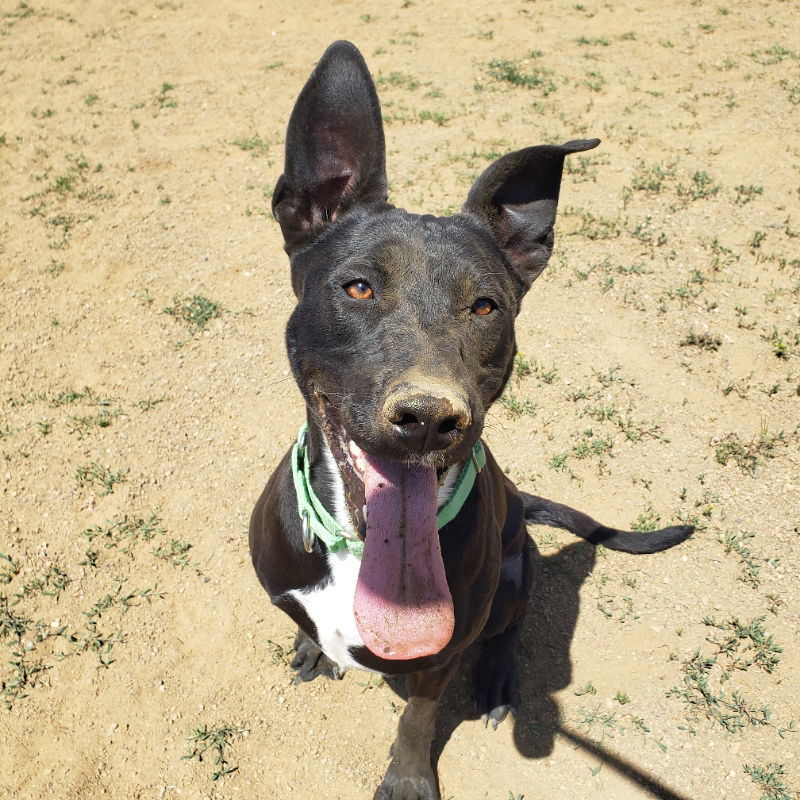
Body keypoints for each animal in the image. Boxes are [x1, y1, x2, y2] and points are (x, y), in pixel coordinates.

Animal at [247, 40, 692, 796]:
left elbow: (416, 720)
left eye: (486, 306)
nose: (429, 418)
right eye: (357, 287)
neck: (358, 557)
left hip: (514, 578)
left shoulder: (438, 657)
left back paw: (497, 683)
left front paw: (406, 780)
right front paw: (312, 645)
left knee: (507, 631)